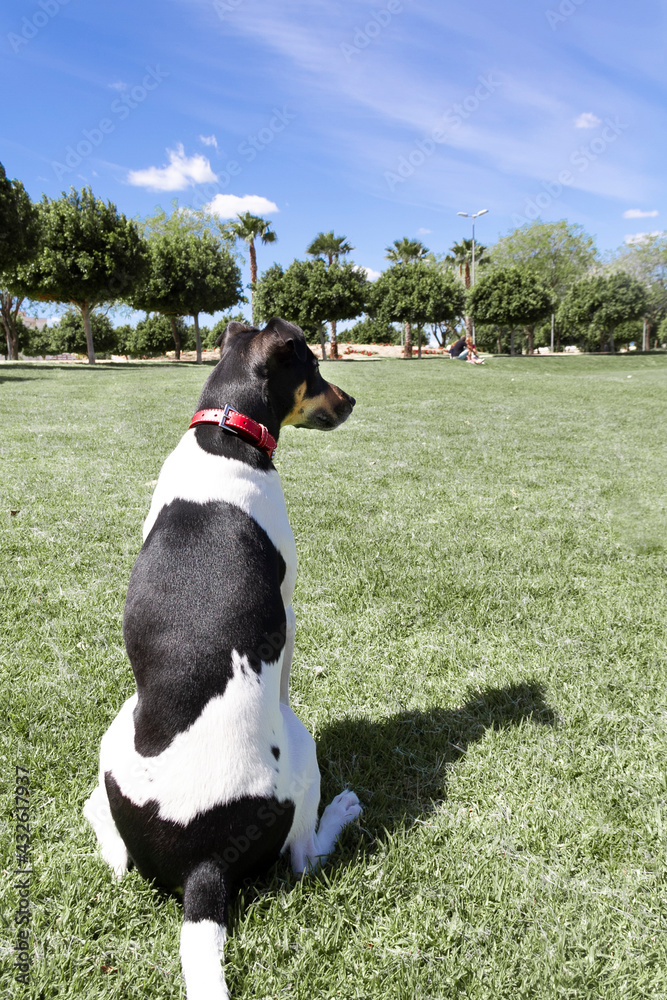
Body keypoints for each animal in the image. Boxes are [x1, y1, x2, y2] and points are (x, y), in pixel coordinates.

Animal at [87, 318, 366, 1000]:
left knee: (113, 851)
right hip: (302, 747)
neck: (225, 436)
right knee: (305, 858)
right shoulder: (288, 605)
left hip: (118, 727)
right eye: (314, 369)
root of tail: (203, 869)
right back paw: (341, 811)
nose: (351, 400)